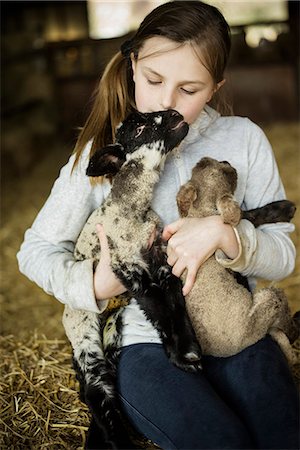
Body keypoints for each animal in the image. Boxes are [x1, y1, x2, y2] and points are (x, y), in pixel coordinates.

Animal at [62, 110, 202, 450]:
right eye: (138, 129)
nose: (177, 114)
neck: (133, 210)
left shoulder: (160, 257)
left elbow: (174, 305)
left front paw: (187, 350)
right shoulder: (127, 267)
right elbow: (158, 306)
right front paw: (183, 358)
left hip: (113, 328)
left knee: (106, 378)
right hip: (82, 329)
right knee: (96, 387)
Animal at [177, 156, 298, 364]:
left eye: (203, 163)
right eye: (227, 173)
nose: (227, 161)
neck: (200, 210)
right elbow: (248, 215)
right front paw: (286, 208)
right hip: (267, 301)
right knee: (283, 321)